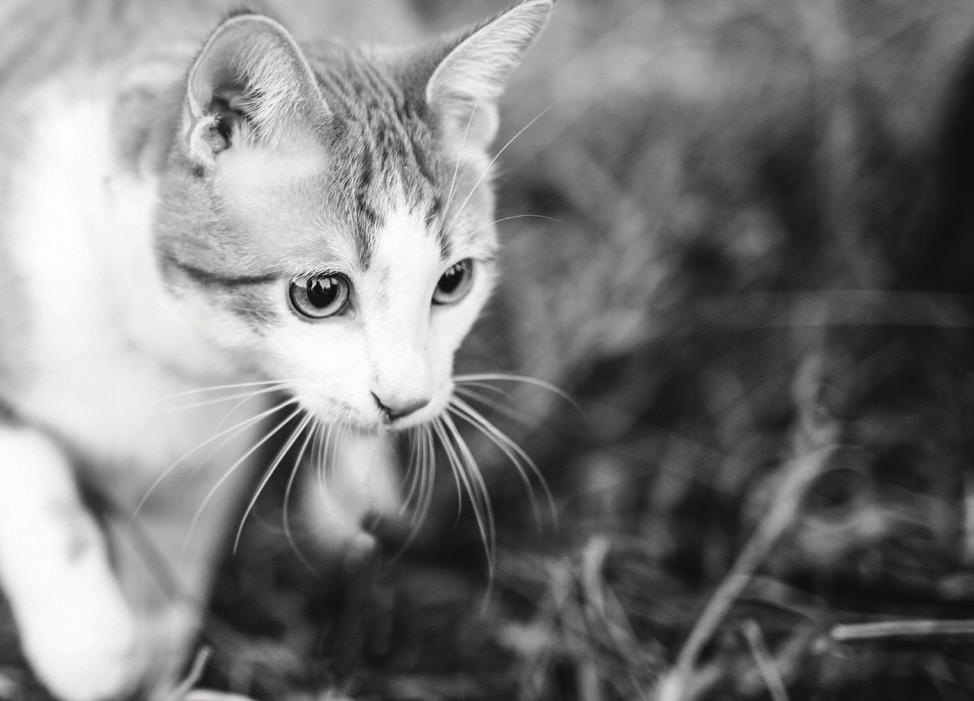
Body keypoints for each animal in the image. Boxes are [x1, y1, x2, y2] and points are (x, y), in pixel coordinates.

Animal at [0, 2, 552, 696]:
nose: (406, 402)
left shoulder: (202, 460)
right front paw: (94, 649)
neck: (171, 348)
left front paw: (157, 666)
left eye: (453, 282)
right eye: (320, 293)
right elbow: (43, 501)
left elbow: (168, 590)